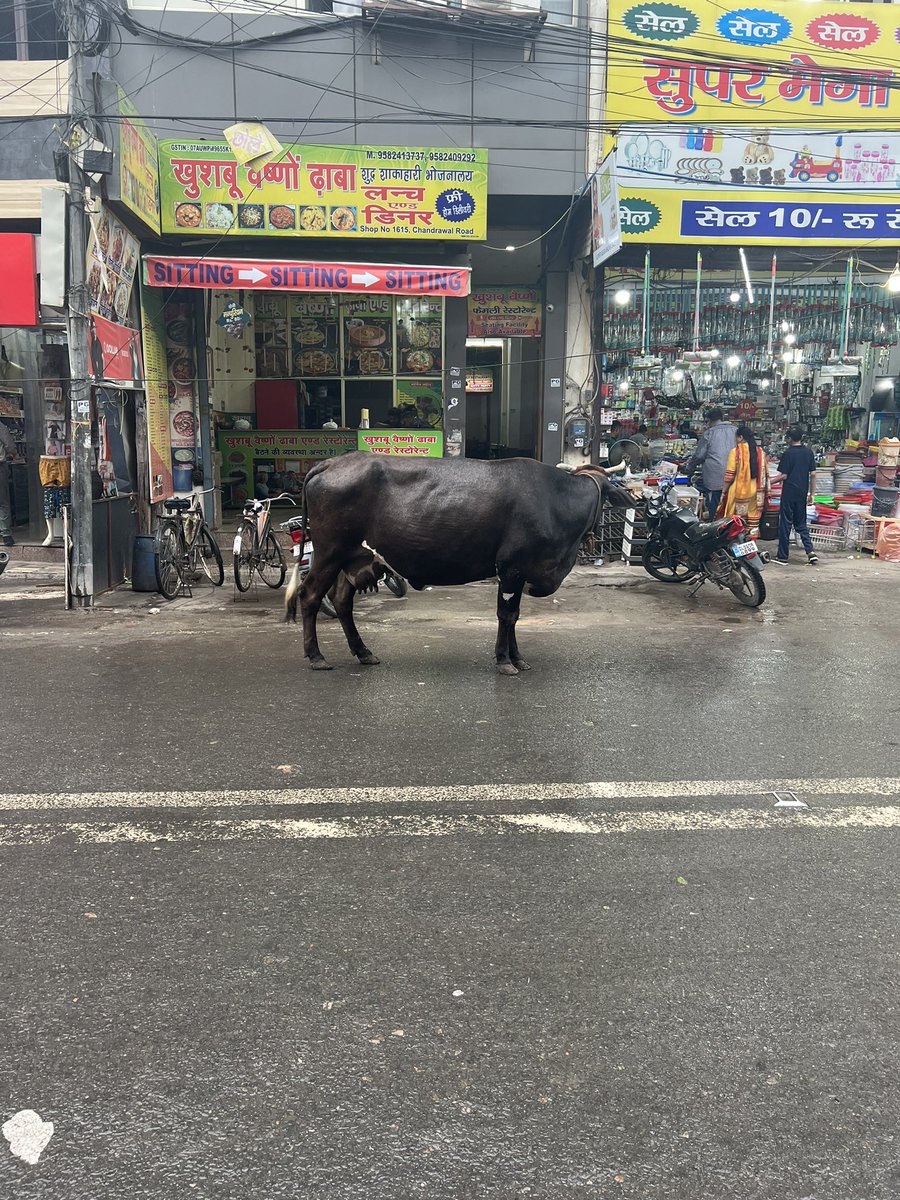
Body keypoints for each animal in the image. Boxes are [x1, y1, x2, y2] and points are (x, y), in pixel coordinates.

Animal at [286, 451, 633, 676]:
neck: (557, 502)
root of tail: (332, 462)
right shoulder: (511, 569)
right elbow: (506, 615)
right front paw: (504, 661)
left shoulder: (521, 573)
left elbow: (515, 617)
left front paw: (518, 658)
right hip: (330, 553)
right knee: (310, 596)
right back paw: (316, 656)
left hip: (354, 559)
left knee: (342, 601)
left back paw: (363, 652)